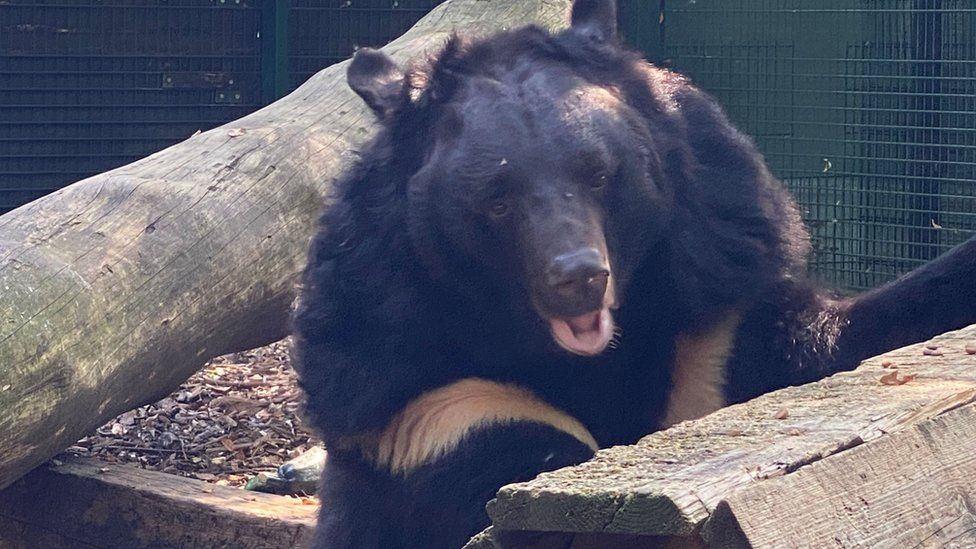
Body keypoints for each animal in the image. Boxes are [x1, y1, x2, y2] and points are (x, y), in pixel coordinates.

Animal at [290, 2, 976, 544]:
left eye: (598, 174)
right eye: (497, 202)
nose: (578, 277)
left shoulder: (715, 304)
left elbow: (829, 344)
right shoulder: (405, 392)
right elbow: (498, 465)